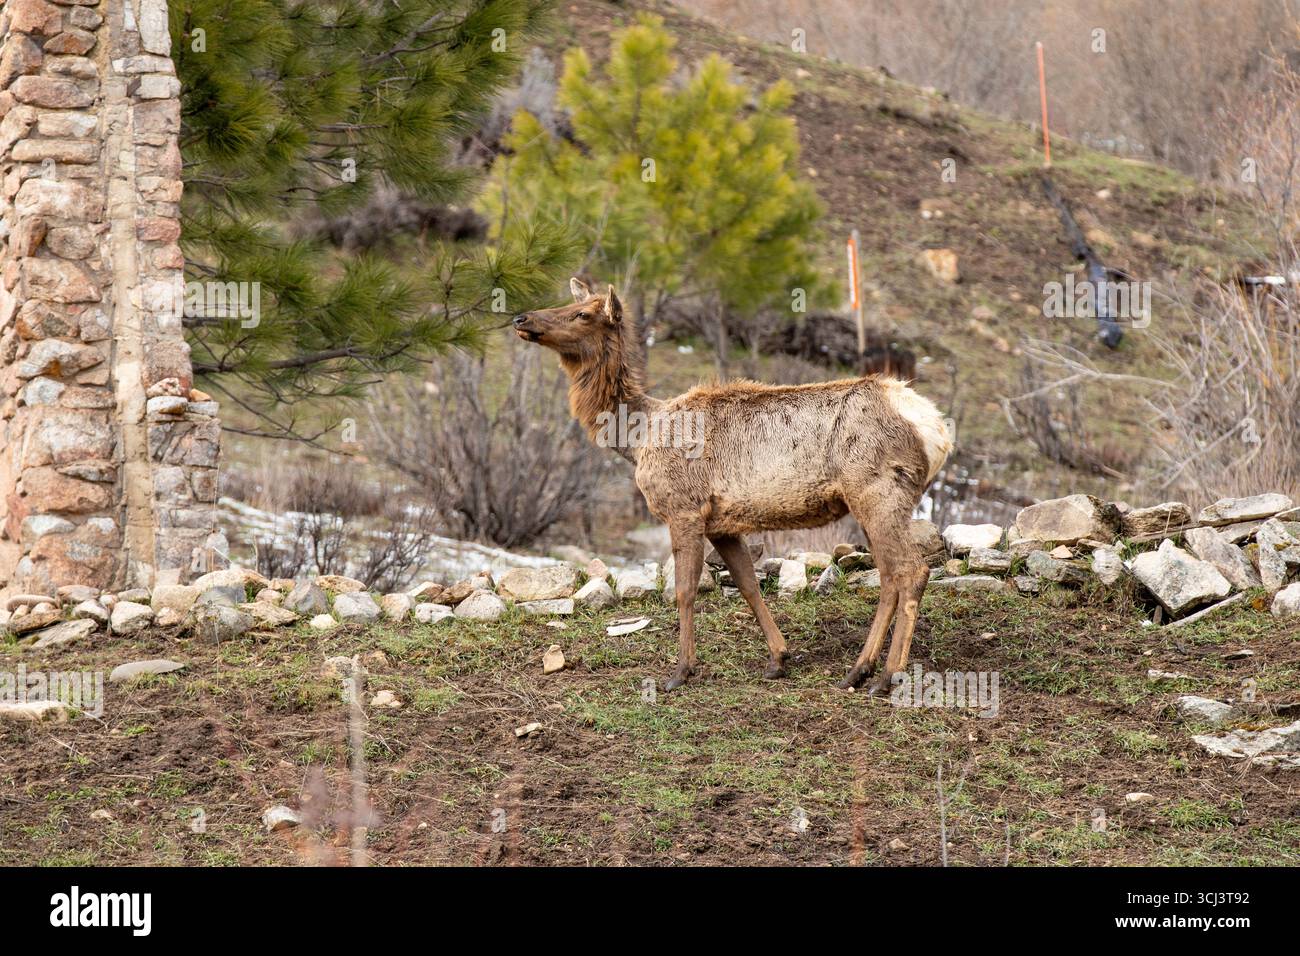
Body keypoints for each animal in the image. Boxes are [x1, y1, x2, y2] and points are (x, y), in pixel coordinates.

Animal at [513, 279, 953, 694]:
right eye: (568, 303)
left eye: (583, 314)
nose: (521, 317)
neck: (638, 440)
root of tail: (937, 431)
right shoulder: (723, 523)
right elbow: (748, 584)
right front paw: (779, 658)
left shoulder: (684, 508)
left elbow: (684, 590)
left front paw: (681, 670)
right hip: (869, 501)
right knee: (889, 575)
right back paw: (859, 671)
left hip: (879, 492)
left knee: (912, 570)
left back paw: (886, 676)